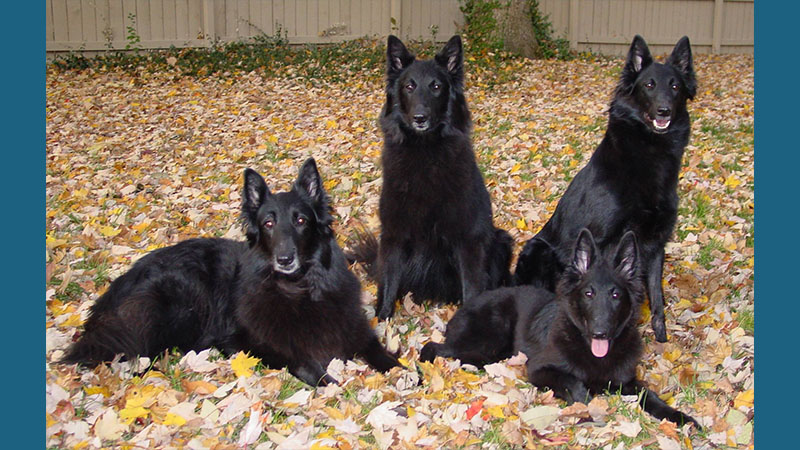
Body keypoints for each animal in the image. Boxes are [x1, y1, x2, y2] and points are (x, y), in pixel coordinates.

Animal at [61, 159, 400, 386]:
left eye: (301, 220)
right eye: (268, 223)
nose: (285, 259)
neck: (298, 289)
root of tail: (118, 285)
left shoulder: (355, 328)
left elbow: (382, 354)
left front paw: (402, 372)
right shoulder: (246, 342)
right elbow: (303, 363)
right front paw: (331, 382)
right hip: (182, 300)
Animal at [356, 36, 512, 320]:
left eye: (436, 86)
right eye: (409, 86)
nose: (420, 118)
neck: (425, 150)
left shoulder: (468, 239)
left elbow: (472, 287)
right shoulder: (393, 234)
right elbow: (388, 282)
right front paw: (382, 320)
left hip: (501, 240)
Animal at [422, 230, 696, 428]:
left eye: (616, 295)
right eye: (588, 293)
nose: (600, 332)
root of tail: (465, 306)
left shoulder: (626, 381)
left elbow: (651, 396)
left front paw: (680, 417)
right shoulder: (538, 369)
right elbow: (573, 382)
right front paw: (586, 409)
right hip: (488, 342)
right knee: (431, 347)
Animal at [516, 34, 696, 342]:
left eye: (675, 87)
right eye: (649, 85)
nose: (664, 110)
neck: (649, 154)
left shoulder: (656, 243)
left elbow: (656, 296)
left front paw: (660, 336)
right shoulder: (598, 240)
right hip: (538, 250)